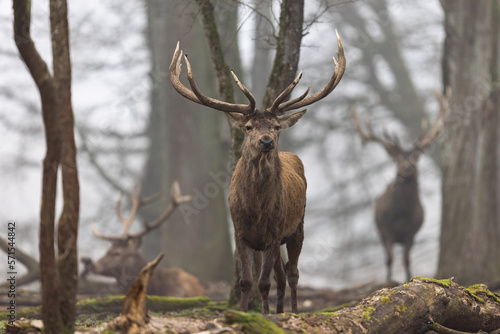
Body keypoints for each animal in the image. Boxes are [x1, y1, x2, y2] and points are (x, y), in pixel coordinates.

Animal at [170, 29, 346, 314]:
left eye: (276, 126)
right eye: (249, 126)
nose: (266, 141)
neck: (256, 209)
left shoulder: (274, 233)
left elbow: (264, 282)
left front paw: (265, 315)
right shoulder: (240, 233)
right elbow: (246, 281)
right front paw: (244, 312)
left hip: (297, 226)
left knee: (292, 273)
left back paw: (292, 311)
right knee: (281, 275)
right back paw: (278, 310)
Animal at [352, 90, 450, 284]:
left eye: (416, 156)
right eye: (397, 158)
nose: (408, 167)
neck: (402, 215)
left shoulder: (411, 233)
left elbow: (406, 260)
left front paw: (408, 277)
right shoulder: (386, 230)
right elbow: (389, 260)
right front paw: (389, 280)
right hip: (380, 232)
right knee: (387, 257)